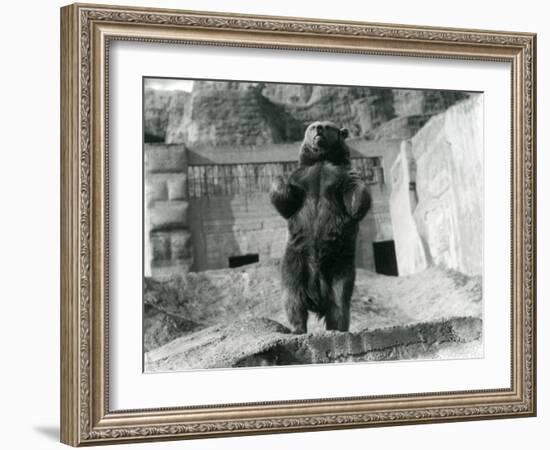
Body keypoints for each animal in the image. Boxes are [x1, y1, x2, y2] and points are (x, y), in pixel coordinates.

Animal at [270, 121, 370, 332]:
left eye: (327, 126)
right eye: (312, 126)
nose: (318, 129)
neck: (322, 159)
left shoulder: (340, 175)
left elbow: (354, 197)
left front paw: (360, 187)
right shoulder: (301, 178)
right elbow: (287, 202)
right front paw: (278, 178)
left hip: (339, 262)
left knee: (340, 299)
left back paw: (337, 327)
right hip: (295, 259)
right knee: (292, 296)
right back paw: (297, 328)